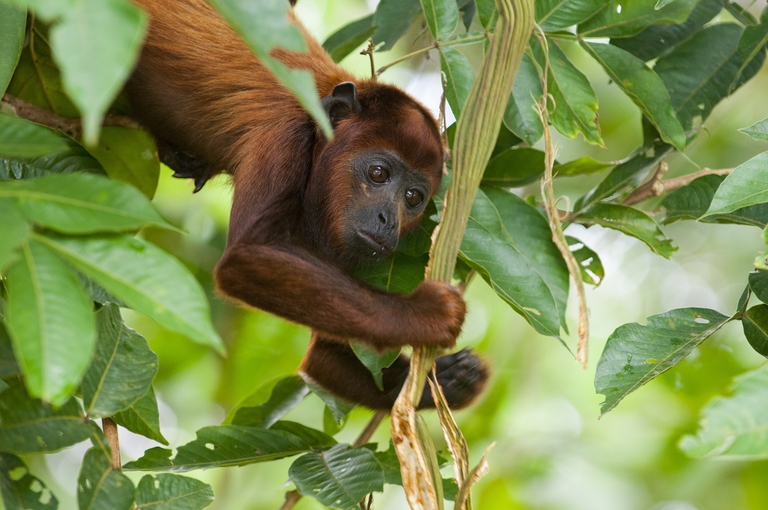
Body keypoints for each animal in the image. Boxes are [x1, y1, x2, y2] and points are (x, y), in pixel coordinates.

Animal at [125, 0, 486, 408]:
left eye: (413, 198)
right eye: (378, 173)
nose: (387, 220)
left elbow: (326, 355)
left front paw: (450, 378)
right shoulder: (285, 135)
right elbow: (246, 257)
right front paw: (425, 313)